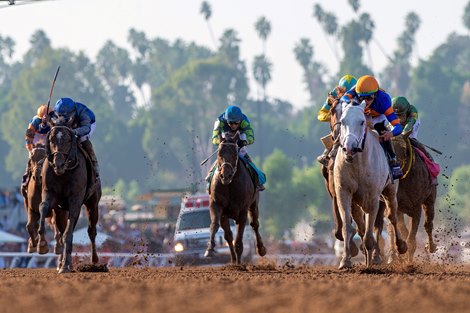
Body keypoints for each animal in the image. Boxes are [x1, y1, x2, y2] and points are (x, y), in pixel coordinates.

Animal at [204, 130, 266, 262]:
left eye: (234, 154)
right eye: (219, 153)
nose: (225, 175)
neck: (230, 185)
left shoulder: (242, 210)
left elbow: (239, 240)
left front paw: (239, 263)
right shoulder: (217, 205)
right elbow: (216, 226)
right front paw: (210, 249)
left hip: (254, 204)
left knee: (255, 224)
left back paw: (261, 249)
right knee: (229, 235)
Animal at [334, 102, 408, 268]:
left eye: (362, 122)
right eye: (342, 121)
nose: (349, 148)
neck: (357, 164)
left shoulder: (373, 197)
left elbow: (370, 231)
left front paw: (370, 263)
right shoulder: (344, 192)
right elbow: (348, 227)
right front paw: (345, 260)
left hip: (390, 192)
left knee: (392, 217)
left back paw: (400, 246)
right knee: (362, 226)